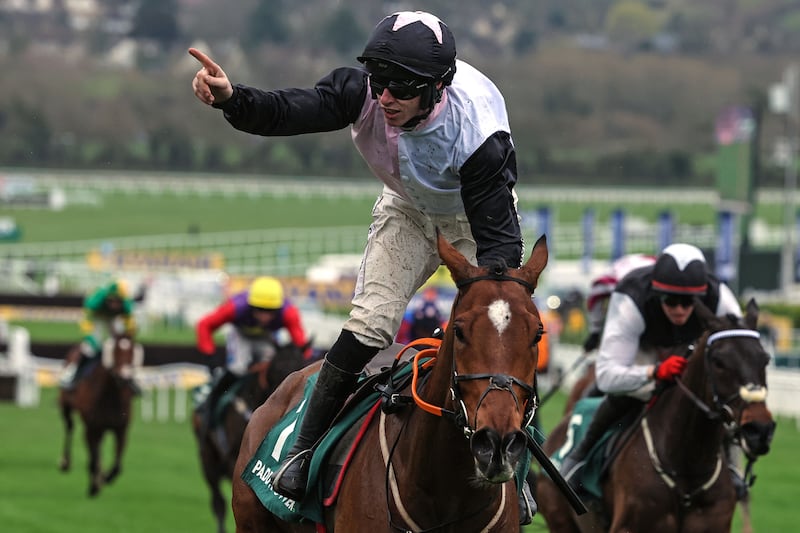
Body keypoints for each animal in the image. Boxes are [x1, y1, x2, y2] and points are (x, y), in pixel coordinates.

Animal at [59, 330, 142, 496]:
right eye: (115, 351)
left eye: (131, 351)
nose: (124, 377)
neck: (110, 396)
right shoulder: (91, 428)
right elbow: (93, 458)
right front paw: (94, 485)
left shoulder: (121, 429)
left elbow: (117, 466)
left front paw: (105, 477)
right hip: (66, 408)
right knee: (69, 428)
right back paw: (65, 462)